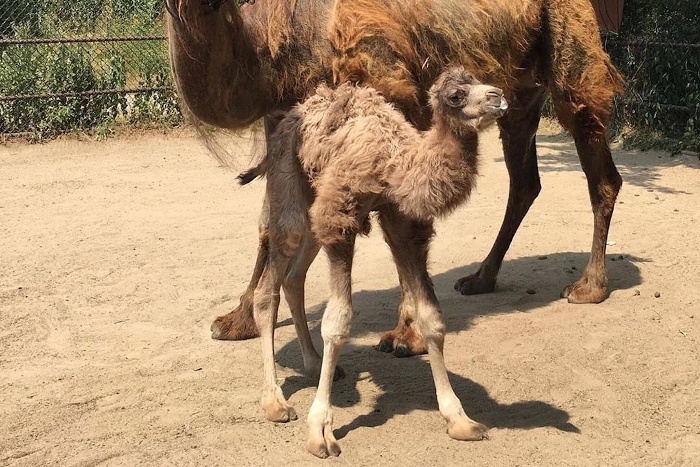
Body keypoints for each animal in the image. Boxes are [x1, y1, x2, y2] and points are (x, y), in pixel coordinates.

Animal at [168, 0, 624, 356]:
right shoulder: (284, 121)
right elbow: (270, 223)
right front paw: (237, 319)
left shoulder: (385, 84)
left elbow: (400, 224)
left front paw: (408, 335)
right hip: (518, 93)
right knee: (525, 181)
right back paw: (480, 278)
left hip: (570, 42)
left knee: (595, 150)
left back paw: (589, 285)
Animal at [247, 67, 508, 458]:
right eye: (455, 96)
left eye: (477, 80)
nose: (498, 96)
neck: (395, 163)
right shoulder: (340, 217)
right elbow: (337, 323)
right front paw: (320, 432)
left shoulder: (402, 222)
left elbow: (432, 318)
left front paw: (460, 419)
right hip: (289, 190)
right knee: (268, 288)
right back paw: (275, 402)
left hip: (314, 205)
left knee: (293, 279)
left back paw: (314, 364)